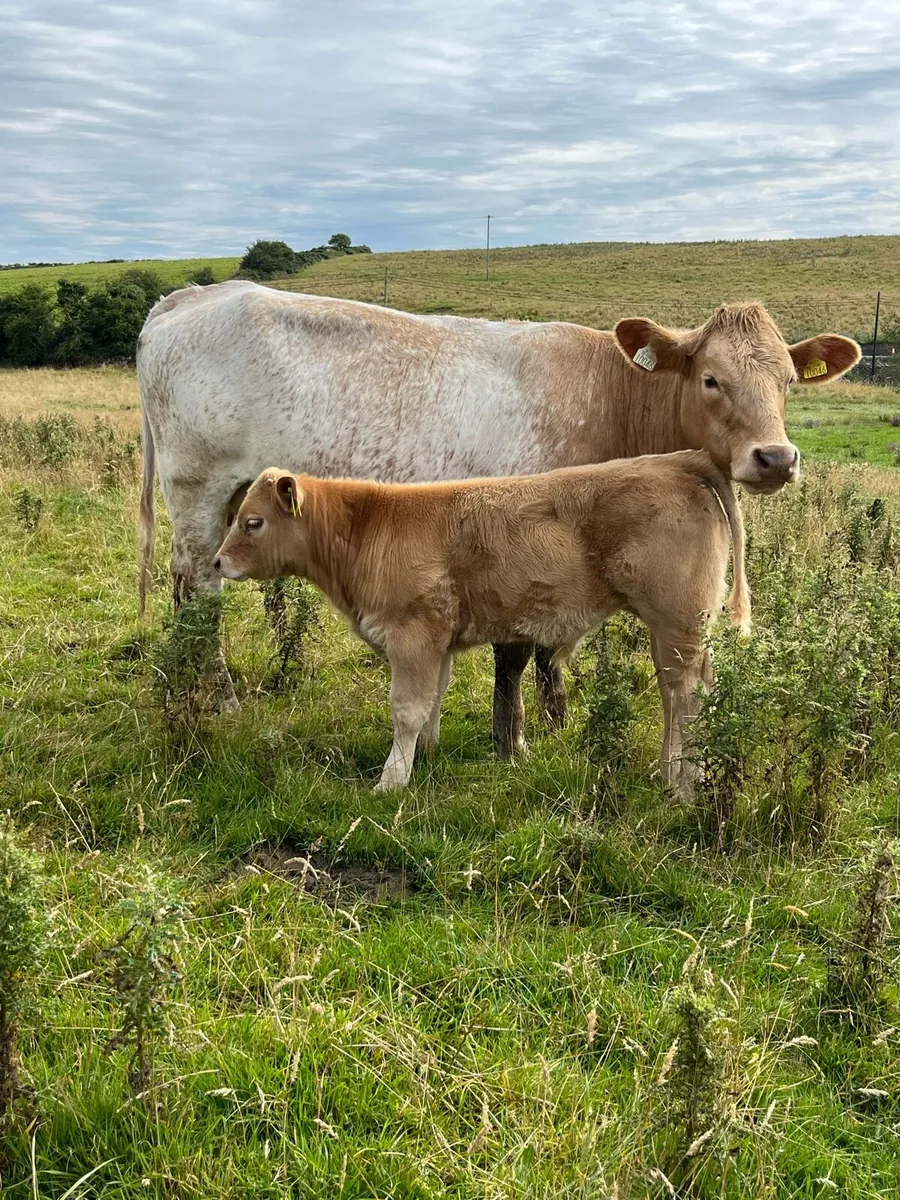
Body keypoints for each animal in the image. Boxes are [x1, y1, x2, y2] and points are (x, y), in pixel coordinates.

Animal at [136, 281, 860, 756]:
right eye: (710, 378)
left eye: (788, 381)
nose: (776, 457)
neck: (609, 397)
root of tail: (191, 295)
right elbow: (516, 648)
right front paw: (511, 740)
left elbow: (548, 649)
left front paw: (556, 716)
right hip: (196, 485)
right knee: (199, 585)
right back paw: (215, 695)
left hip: (233, 497)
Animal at [214, 450, 748, 792]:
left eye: (253, 522)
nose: (218, 562)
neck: (369, 528)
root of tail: (681, 459)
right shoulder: (437, 643)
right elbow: (433, 700)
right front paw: (425, 757)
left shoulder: (412, 635)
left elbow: (407, 709)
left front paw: (391, 780)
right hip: (675, 631)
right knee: (676, 692)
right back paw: (671, 773)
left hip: (678, 621)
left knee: (687, 697)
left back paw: (683, 784)